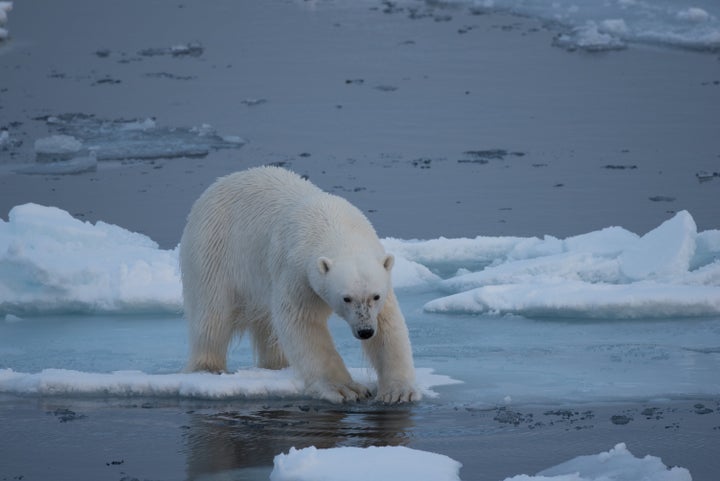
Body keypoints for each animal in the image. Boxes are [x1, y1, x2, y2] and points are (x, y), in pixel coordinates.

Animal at [179, 165, 422, 402]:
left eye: (375, 296)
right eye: (346, 298)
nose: (365, 331)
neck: (334, 224)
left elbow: (389, 325)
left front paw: (398, 391)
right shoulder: (297, 272)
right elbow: (303, 323)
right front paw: (345, 389)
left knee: (268, 325)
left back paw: (278, 364)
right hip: (214, 249)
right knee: (213, 315)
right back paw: (208, 368)